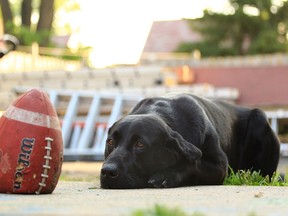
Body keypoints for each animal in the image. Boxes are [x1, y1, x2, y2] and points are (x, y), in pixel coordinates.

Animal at [100, 93, 280, 188]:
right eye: (110, 142)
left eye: (140, 144)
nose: (107, 171)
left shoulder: (220, 166)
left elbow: (193, 164)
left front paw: (166, 175)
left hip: (259, 119)